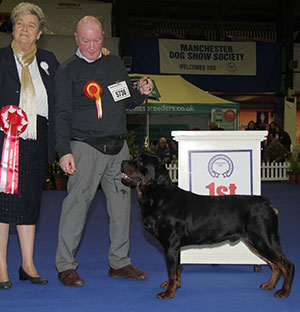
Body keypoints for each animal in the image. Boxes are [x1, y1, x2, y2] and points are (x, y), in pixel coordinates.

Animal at [120, 152, 294, 298]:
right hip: (256, 241)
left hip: (263, 239)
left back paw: (284, 291)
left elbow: (172, 271)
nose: (122, 162)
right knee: (275, 265)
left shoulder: (171, 245)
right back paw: (270, 285)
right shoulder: (176, 247)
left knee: (286, 265)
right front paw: (175, 286)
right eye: (134, 157)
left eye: (141, 161)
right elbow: (178, 269)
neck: (159, 195)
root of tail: (267, 204)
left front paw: (169, 292)